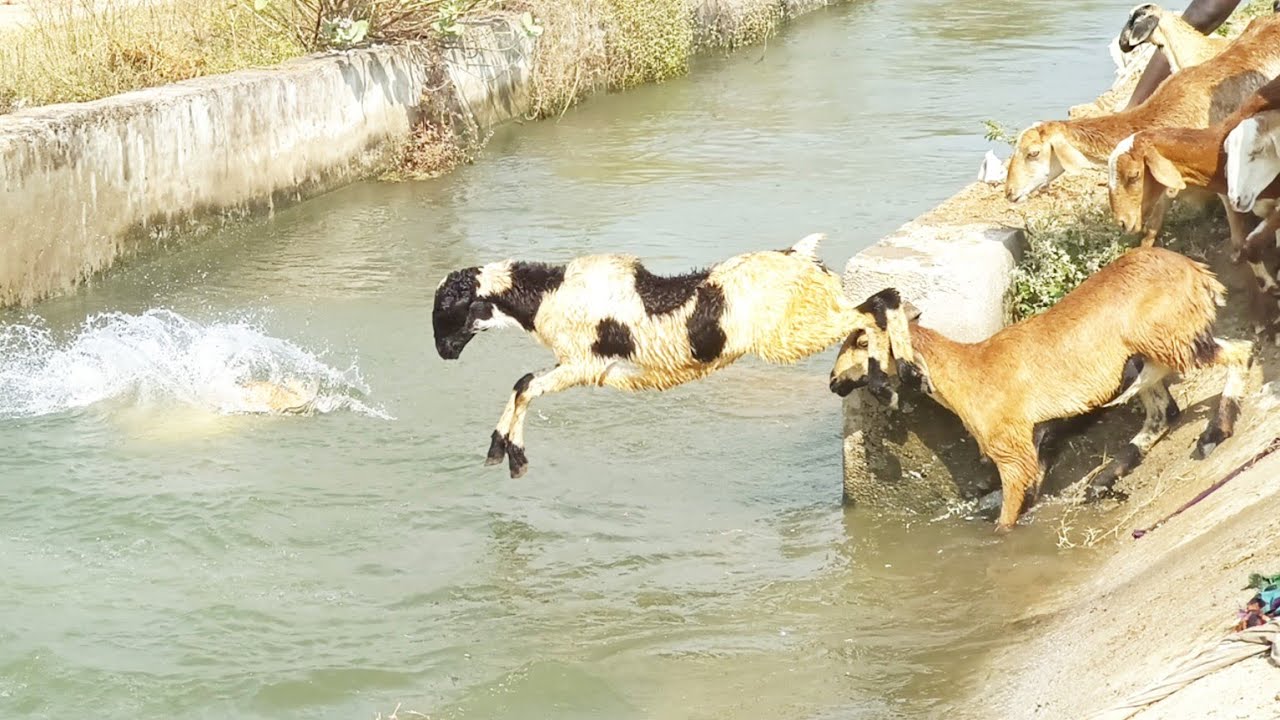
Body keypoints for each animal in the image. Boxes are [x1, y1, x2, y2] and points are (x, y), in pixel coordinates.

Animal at [432, 233, 898, 478]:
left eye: (443, 309)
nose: (442, 353)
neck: (546, 294)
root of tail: (803, 257)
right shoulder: (584, 367)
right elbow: (522, 384)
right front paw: (498, 449)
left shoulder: (583, 364)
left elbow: (525, 387)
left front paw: (514, 456)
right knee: (879, 304)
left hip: (790, 336)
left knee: (875, 307)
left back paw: (883, 382)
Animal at [828, 246, 1254, 532]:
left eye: (861, 341)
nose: (833, 381)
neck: (969, 368)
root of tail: (1197, 273)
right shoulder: (1039, 442)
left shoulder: (1012, 450)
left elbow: (1006, 518)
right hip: (1145, 355)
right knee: (1163, 412)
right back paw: (1101, 481)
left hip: (1167, 337)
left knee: (1241, 352)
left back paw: (1215, 433)